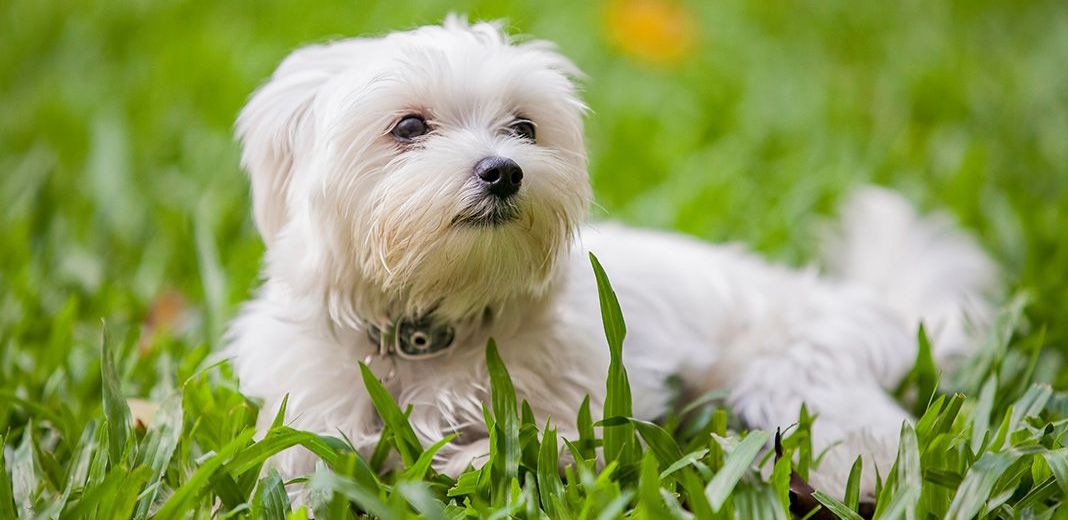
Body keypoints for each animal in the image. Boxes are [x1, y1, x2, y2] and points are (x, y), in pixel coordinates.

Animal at [227, 17, 999, 499]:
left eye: (524, 127)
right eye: (409, 126)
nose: (504, 171)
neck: (429, 333)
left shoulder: (596, 412)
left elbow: (538, 449)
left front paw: (464, 461)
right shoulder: (307, 410)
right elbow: (299, 462)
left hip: (796, 386)